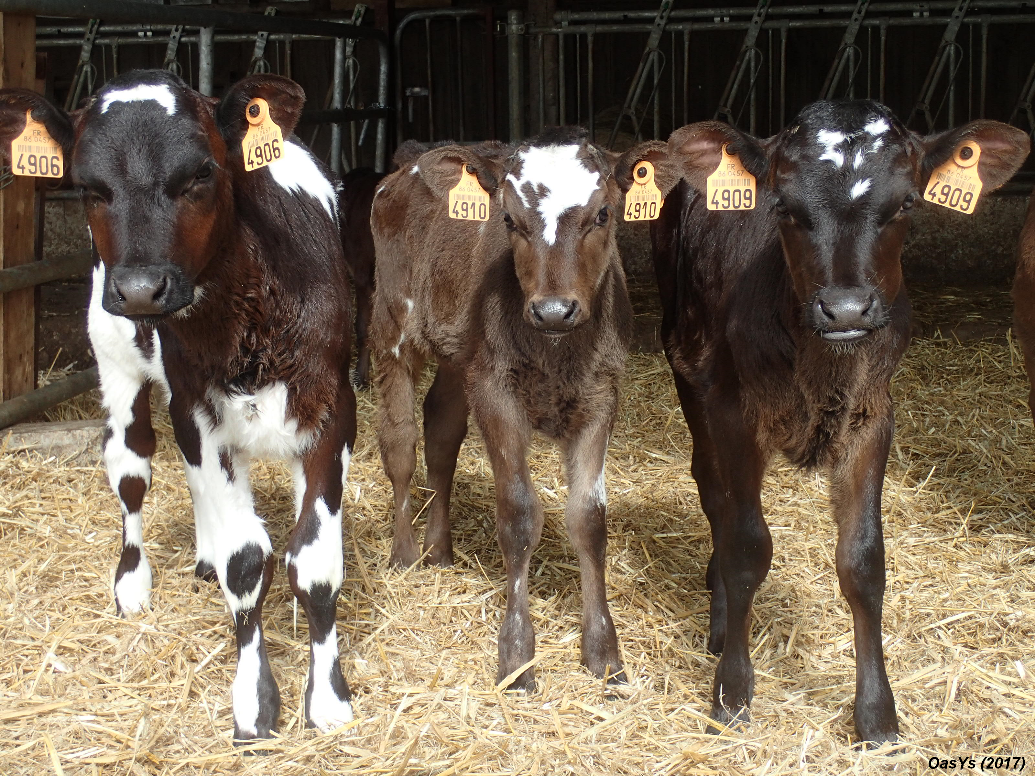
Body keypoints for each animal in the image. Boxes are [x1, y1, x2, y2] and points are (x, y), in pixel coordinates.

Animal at [0, 71, 360, 740]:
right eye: (87, 186)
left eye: (200, 172)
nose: (142, 289)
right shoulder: (198, 409)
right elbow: (247, 562)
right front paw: (253, 701)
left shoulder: (333, 409)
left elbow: (313, 559)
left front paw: (327, 699)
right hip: (116, 364)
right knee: (133, 469)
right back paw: (134, 582)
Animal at [370, 129, 645, 691]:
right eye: (510, 221)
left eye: (603, 214)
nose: (554, 309)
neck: (558, 351)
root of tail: (413, 160)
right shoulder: (495, 391)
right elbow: (518, 513)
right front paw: (517, 657)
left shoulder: (603, 393)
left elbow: (589, 518)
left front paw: (604, 654)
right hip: (393, 326)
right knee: (401, 442)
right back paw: (405, 553)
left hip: (460, 355)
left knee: (441, 428)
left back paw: (439, 549)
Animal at [637, 100, 1026, 744]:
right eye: (783, 208)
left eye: (906, 203)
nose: (845, 309)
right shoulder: (731, 409)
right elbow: (746, 545)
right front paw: (732, 692)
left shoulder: (873, 415)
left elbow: (864, 562)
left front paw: (877, 716)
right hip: (684, 361)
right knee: (713, 493)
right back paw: (719, 619)